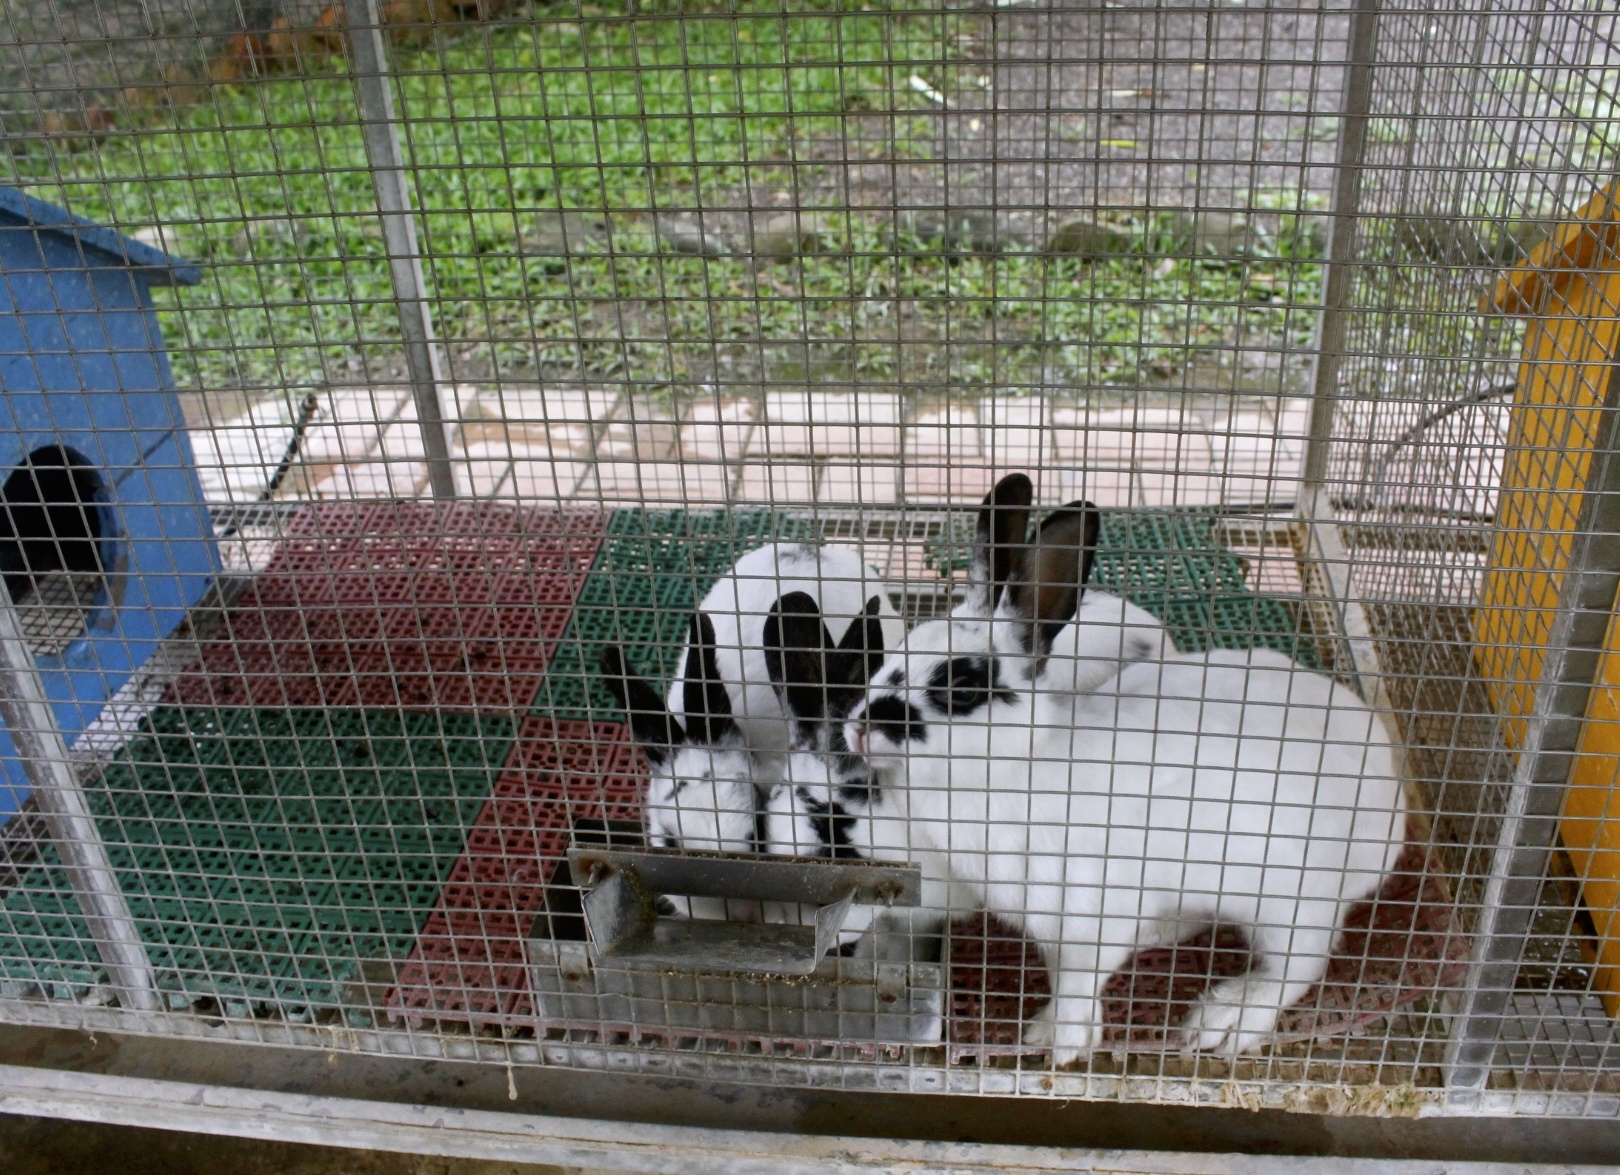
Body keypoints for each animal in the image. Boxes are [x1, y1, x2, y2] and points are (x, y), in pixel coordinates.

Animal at [842, 505, 1412, 1063]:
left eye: (961, 687)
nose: (858, 728)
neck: (1018, 766)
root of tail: (1392, 798)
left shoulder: (1090, 916)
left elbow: (1078, 981)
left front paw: (1059, 1042)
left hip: (1287, 900)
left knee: (1302, 960)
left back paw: (1226, 1018)